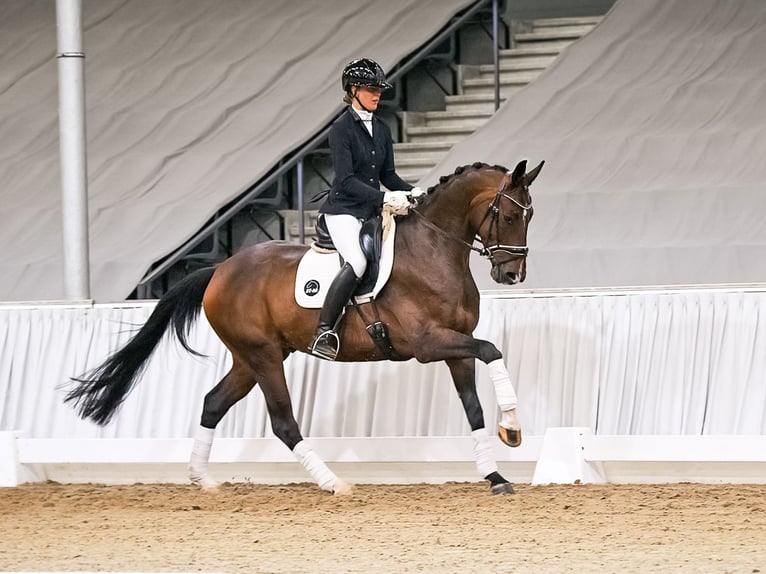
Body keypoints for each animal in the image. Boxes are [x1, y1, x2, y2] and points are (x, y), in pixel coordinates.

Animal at [65, 159, 544, 495]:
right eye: (507, 216)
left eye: (530, 216)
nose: (512, 275)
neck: (434, 251)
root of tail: (220, 269)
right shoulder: (429, 344)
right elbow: (492, 350)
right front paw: (513, 427)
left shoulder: (455, 345)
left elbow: (474, 405)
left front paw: (496, 474)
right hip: (262, 357)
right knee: (283, 422)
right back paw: (334, 483)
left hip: (252, 359)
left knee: (212, 403)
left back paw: (202, 479)